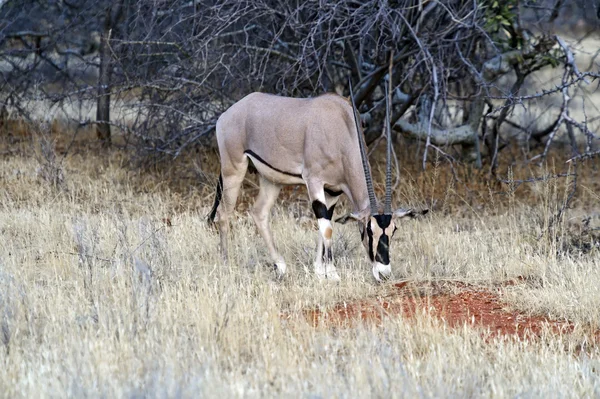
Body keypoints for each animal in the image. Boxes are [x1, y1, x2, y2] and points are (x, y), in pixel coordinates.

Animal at [207, 82, 426, 282]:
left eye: (393, 230)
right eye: (368, 230)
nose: (384, 274)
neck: (341, 126)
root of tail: (228, 114)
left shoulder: (333, 191)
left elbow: (325, 223)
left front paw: (320, 271)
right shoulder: (314, 181)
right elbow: (327, 228)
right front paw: (333, 274)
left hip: (271, 179)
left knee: (259, 212)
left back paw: (281, 266)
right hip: (233, 169)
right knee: (223, 214)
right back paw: (226, 264)